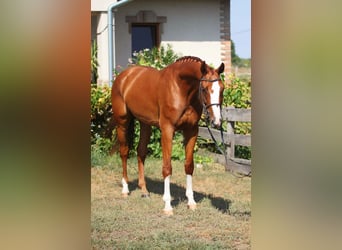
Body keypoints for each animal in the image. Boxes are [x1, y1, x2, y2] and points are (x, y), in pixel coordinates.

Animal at [109, 56, 224, 215]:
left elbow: (189, 166)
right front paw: (168, 206)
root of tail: (124, 76)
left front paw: (191, 202)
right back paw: (125, 189)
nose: (216, 121)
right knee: (124, 152)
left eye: (222, 89)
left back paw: (144, 190)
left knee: (141, 152)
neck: (180, 88)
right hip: (123, 122)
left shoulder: (191, 131)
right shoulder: (167, 130)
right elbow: (167, 167)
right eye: (204, 89)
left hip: (145, 123)